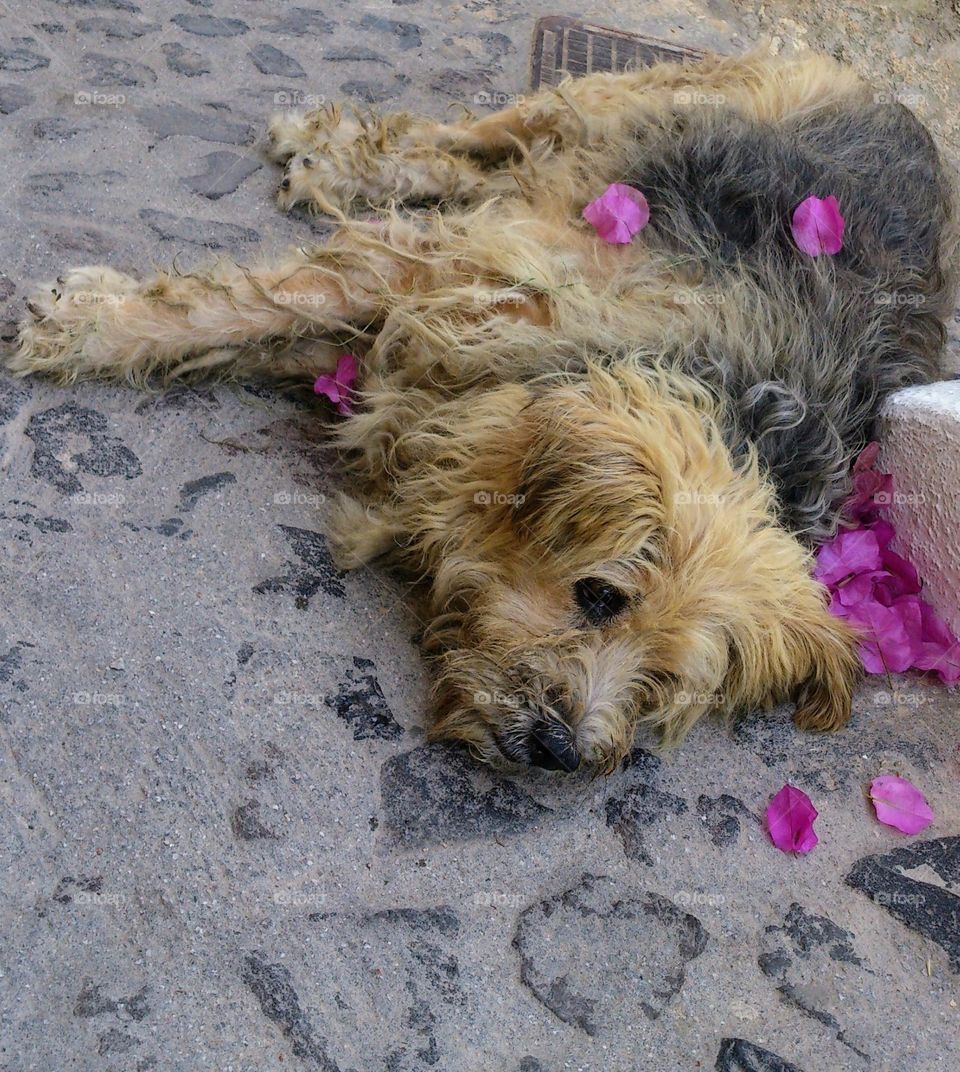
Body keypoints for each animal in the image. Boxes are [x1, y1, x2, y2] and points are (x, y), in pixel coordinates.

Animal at [9, 52, 960, 771]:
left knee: (473, 164)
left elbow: (280, 334)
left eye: (660, 682)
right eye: (599, 596)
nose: (561, 752)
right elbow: (250, 303)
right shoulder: (458, 277)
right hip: (612, 101)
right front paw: (94, 322)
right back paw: (333, 152)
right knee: (470, 136)